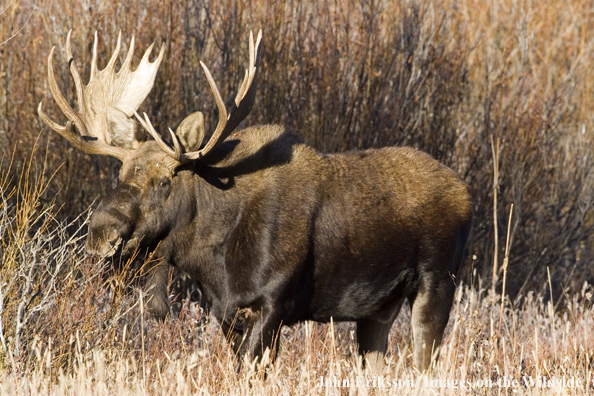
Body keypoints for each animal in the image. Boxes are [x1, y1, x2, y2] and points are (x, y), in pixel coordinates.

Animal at [38, 29, 472, 370]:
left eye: (164, 181)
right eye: (121, 175)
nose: (101, 231)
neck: (213, 258)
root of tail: (467, 195)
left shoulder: (272, 303)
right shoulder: (226, 311)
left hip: (437, 284)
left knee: (425, 365)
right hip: (377, 308)